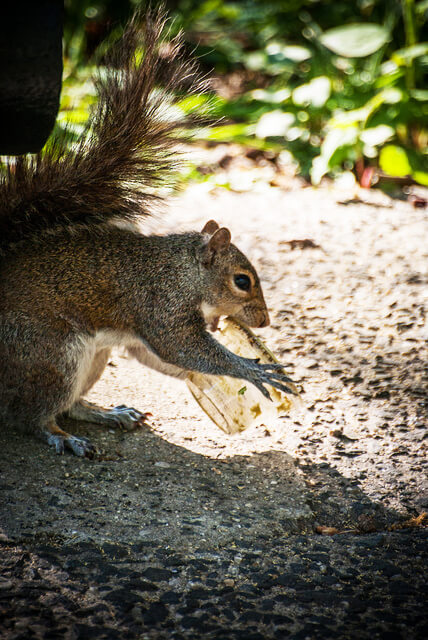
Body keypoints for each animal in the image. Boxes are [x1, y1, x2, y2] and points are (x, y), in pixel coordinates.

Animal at [0, 6, 294, 456]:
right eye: (242, 281)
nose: (263, 322)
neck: (181, 271)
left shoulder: (142, 333)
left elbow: (160, 357)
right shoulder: (160, 306)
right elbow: (182, 348)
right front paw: (250, 369)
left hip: (92, 358)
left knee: (69, 404)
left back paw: (107, 413)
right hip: (49, 353)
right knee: (30, 416)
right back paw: (63, 437)